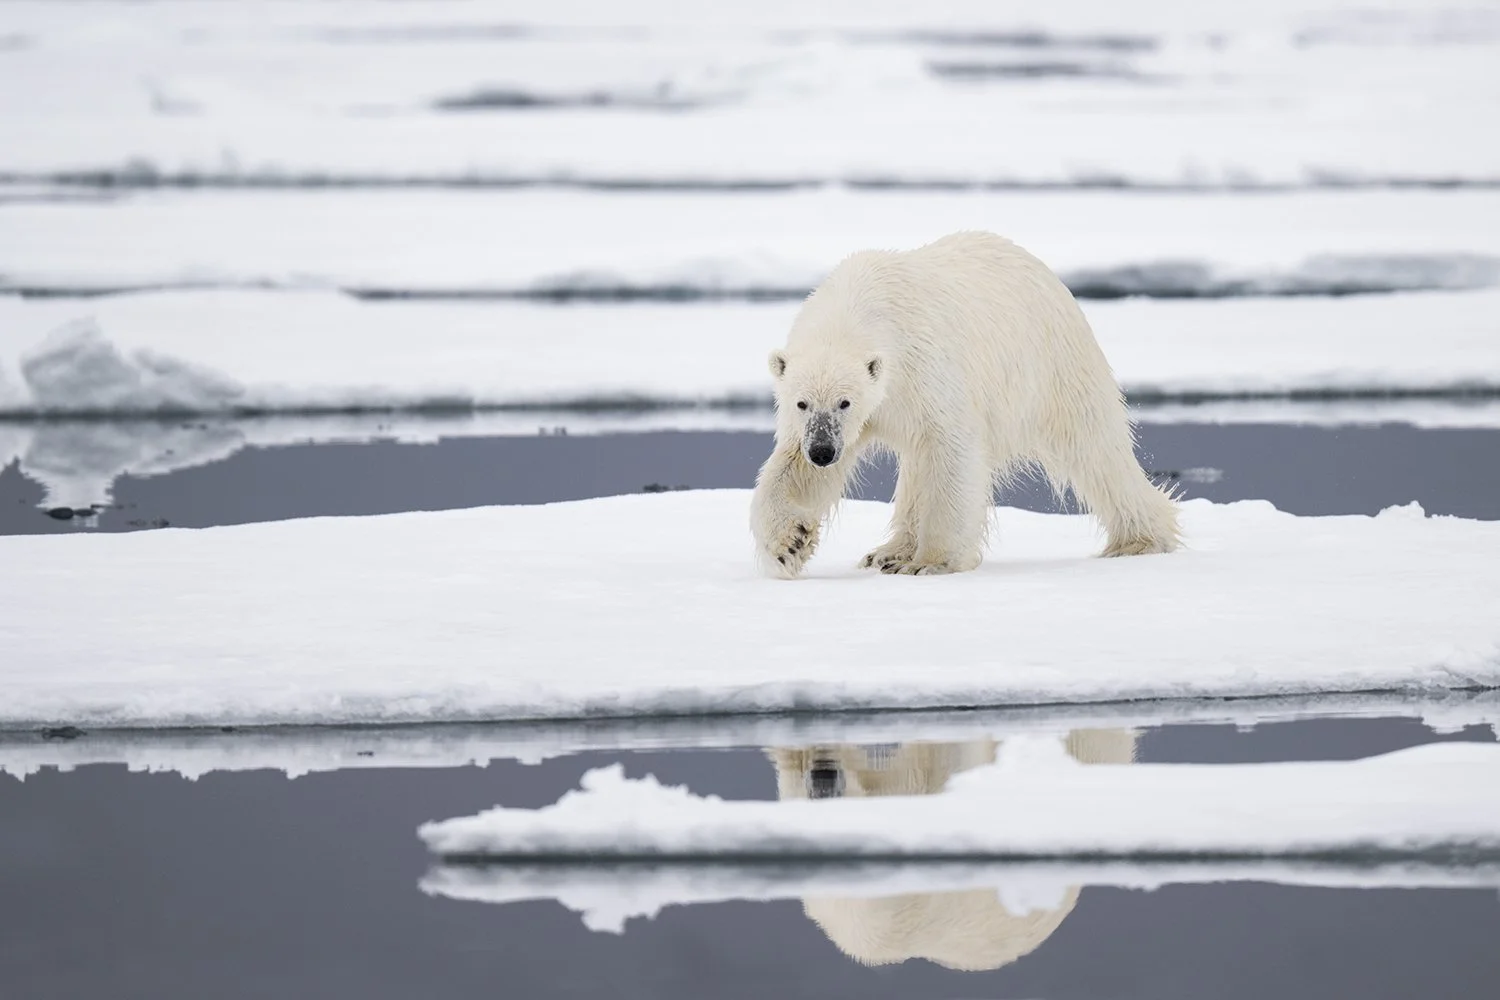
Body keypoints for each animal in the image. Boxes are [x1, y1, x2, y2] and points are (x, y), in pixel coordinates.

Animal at [749, 230, 1180, 578]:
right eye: (802, 403)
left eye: (845, 402)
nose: (823, 451)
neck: (862, 302)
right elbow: (794, 468)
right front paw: (789, 543)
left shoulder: (924, 369)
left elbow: (950, 449)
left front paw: (930, 562)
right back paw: (887, 552)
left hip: (1053, 365)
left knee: (1095, 447)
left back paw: (1140, 539)